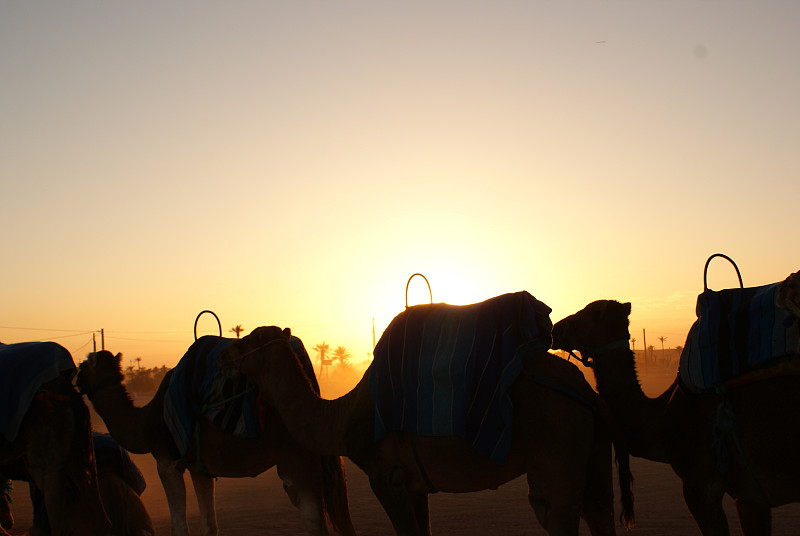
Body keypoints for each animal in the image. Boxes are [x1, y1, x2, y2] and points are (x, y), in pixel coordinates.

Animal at [76, 346, 354, 532]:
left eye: (86, 363)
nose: (75, 376)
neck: (144, 421)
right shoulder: (200, 468)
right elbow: (209, 523)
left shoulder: (166, 461)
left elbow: (180, 526)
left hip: (296, 460)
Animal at [217, 322, 632, 536]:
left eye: (250, 339)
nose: (225, 353)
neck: (343, 416)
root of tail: (584, 390)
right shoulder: (415, 483)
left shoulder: (386, 476)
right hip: (592, 448)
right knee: (598, 512)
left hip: (557, 440)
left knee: (557, 512)